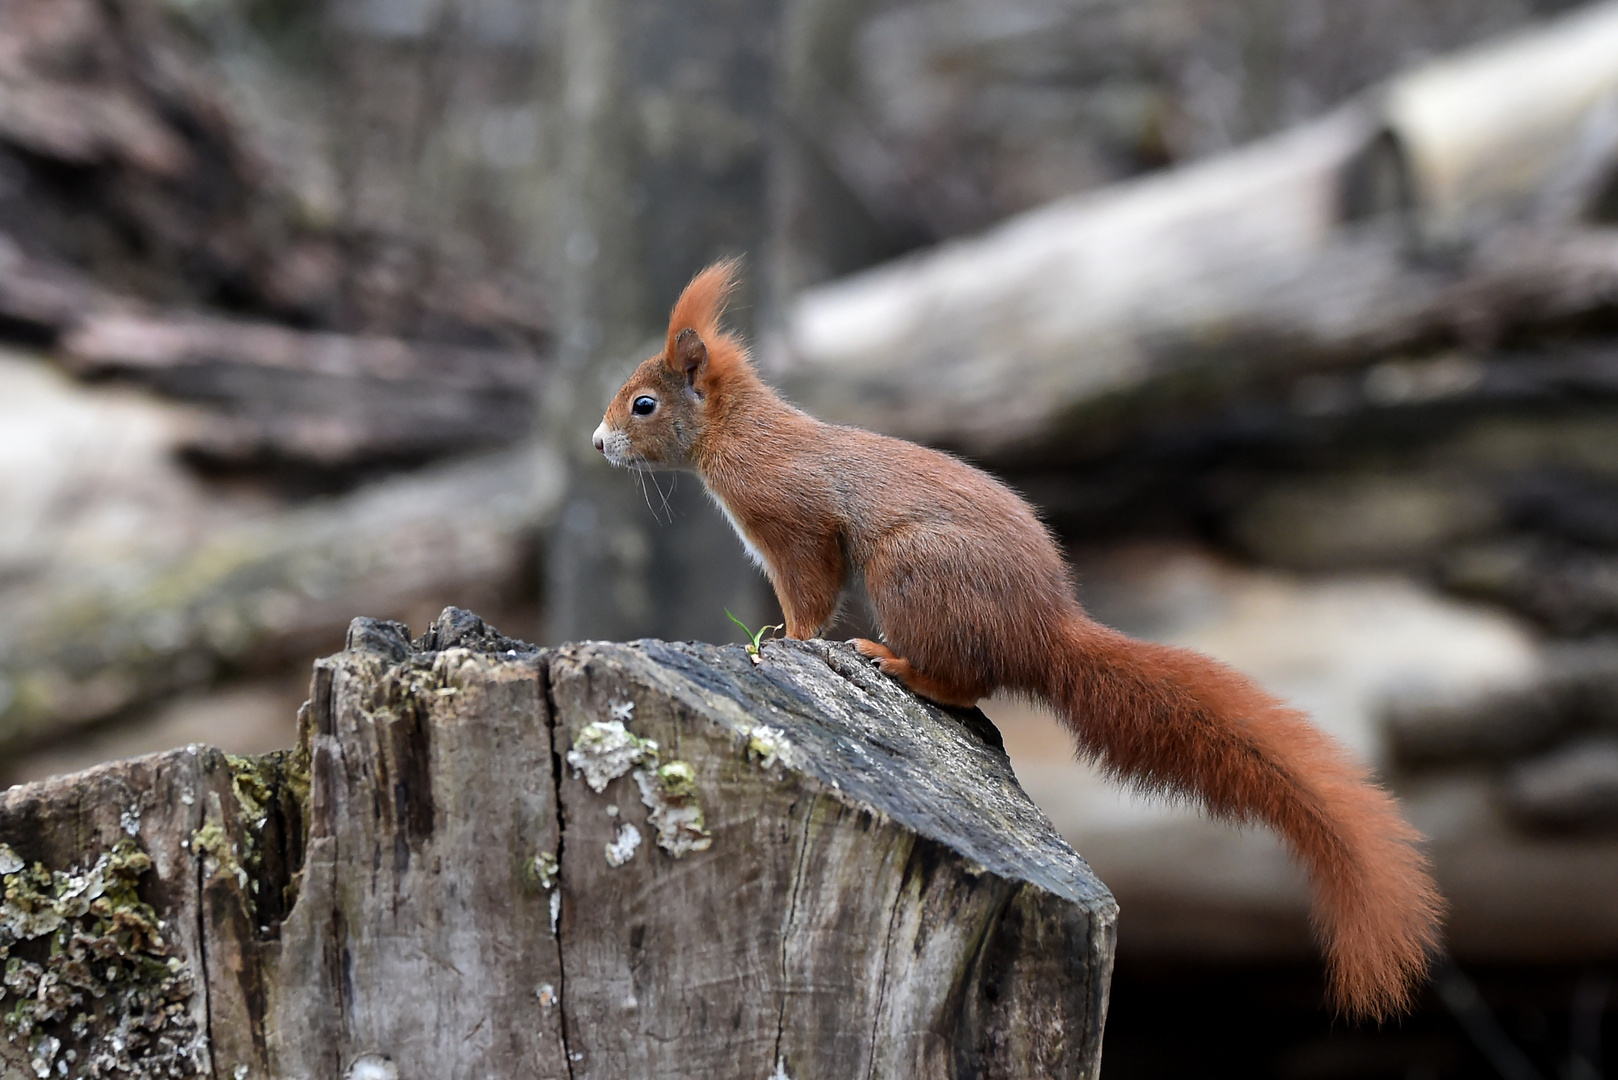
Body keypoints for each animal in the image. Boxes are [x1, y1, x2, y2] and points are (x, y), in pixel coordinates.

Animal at [592, 257, 1443, 1016]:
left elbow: (811, 593)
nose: (598, 446)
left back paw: (895, 662)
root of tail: (1044, 631)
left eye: (643, 405)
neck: (741, 432)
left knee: (964, 682)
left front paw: (787, 640)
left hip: (913, 570)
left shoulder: (798, 525)